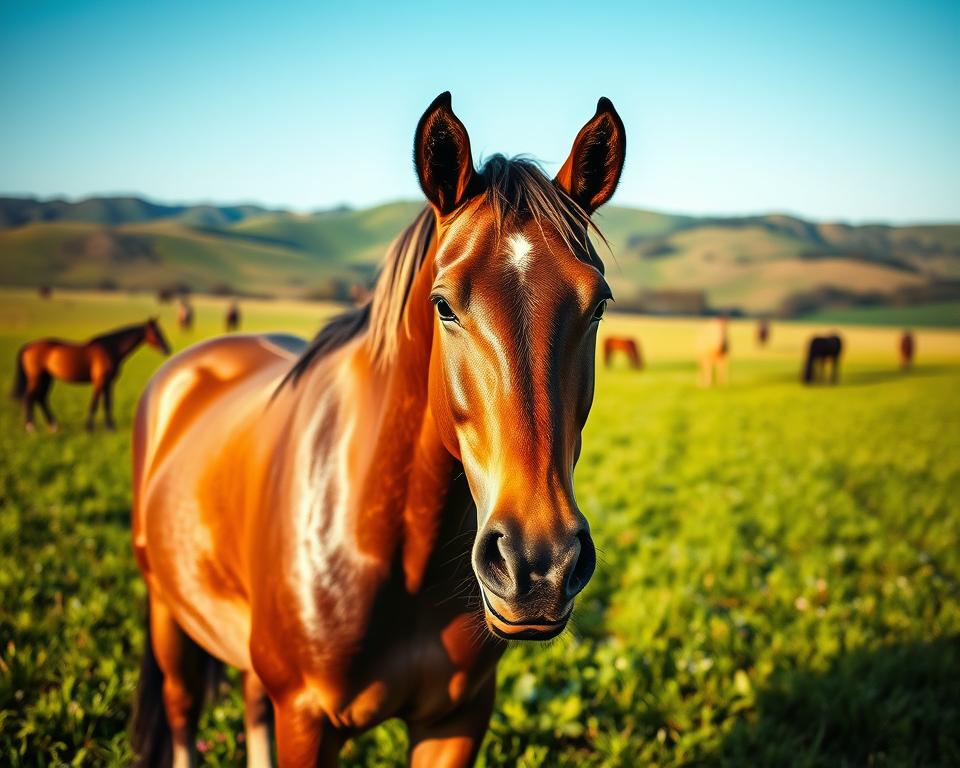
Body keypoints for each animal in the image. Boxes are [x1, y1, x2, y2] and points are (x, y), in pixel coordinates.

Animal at [12, 318, 170, 432]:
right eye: (156, 333)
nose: (167, 349)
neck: (110, 348)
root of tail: (28, 346)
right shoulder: (100, 381)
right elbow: (95, 403)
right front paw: (89, 428)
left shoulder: (108, 383)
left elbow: (107, 403)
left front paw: (110, 427)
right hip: (37, 379)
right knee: (29, 398)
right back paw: (31, 427)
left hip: (47, 378)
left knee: (41, 398)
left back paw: (53, 425)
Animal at [130, 92, 626, 768]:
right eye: (444, 305)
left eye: (597, 304)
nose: (537, 564)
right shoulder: (306, 719)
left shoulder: (456, 719)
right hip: (166, 611)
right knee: (182, 711)